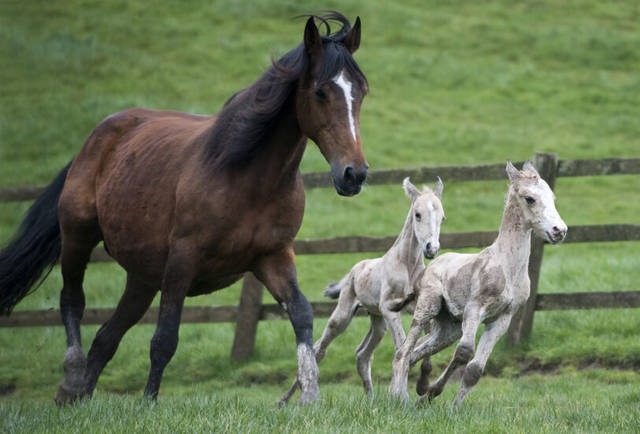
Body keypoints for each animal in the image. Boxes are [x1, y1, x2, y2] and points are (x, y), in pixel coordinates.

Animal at [0, 11, 368, 406]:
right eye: (321, 92)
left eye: (361, 91)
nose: (354, 174)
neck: (247, 178)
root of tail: (99, 136)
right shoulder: (183, 259)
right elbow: (164, 338)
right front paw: (148, 403)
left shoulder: (274, 256)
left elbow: (301, 314)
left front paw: (309, 397)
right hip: (78, 235)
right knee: (73, 300)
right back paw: (71, 381)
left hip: (142, 277)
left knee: (106, 338)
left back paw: (81, 396)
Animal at [280, 177, 444, 406]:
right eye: (417, 214)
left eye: (442, 217)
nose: (431, 248)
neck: (407, 266)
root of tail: (354, 270)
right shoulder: (389, 309)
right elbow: (403, 347)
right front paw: (403, 394)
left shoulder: (418, 309)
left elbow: (420, 350)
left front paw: (421, 387)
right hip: (343, 316)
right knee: (320, 348)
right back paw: (286, 399)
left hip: (377, 322)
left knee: (362, 355)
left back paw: (371, 398)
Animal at [388, 160, 568, 406]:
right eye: (530, 198)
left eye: (552, 196)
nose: (560, 231)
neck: (507, 266)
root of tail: (429, 267)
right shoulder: (475, 308)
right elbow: (464, 352)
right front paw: (434, 393)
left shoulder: (503, 318)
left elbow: (474, 370)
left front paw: (448, 405)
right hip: (428, 307)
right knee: (403, 352)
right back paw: (399, 399)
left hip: (449, 328)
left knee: (415, 353)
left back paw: (412, 392)